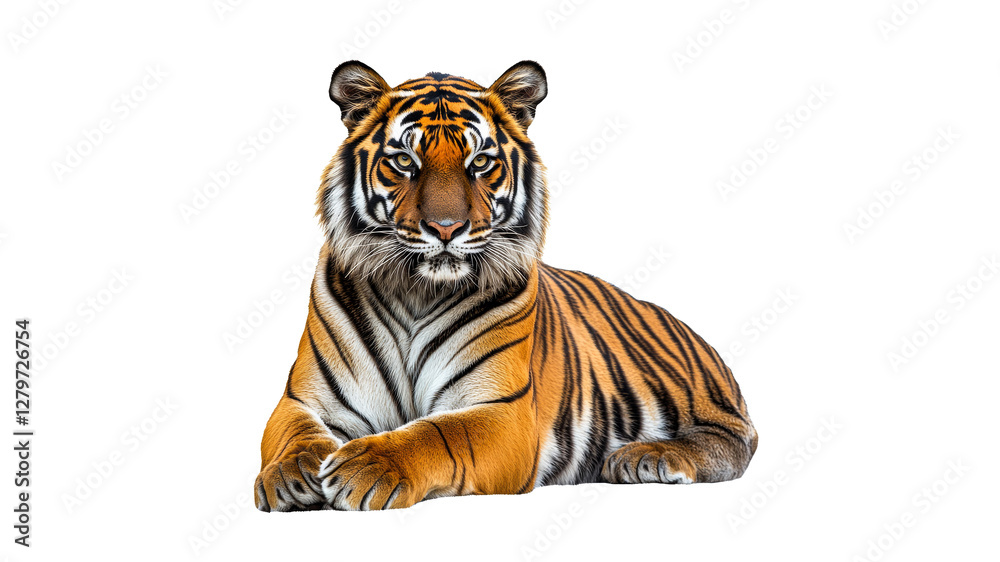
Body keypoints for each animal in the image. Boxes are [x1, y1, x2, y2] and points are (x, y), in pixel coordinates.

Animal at [254, 60, 758, 512]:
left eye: (480, 163)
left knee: (736, 438)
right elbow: (295, 436)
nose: (445, 228)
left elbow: (436, 433)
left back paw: (647, 457)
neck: (418, 292)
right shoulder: (301, 400)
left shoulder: (502, 410)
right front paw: (289, 475)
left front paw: (368, 466)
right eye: (403, 161)